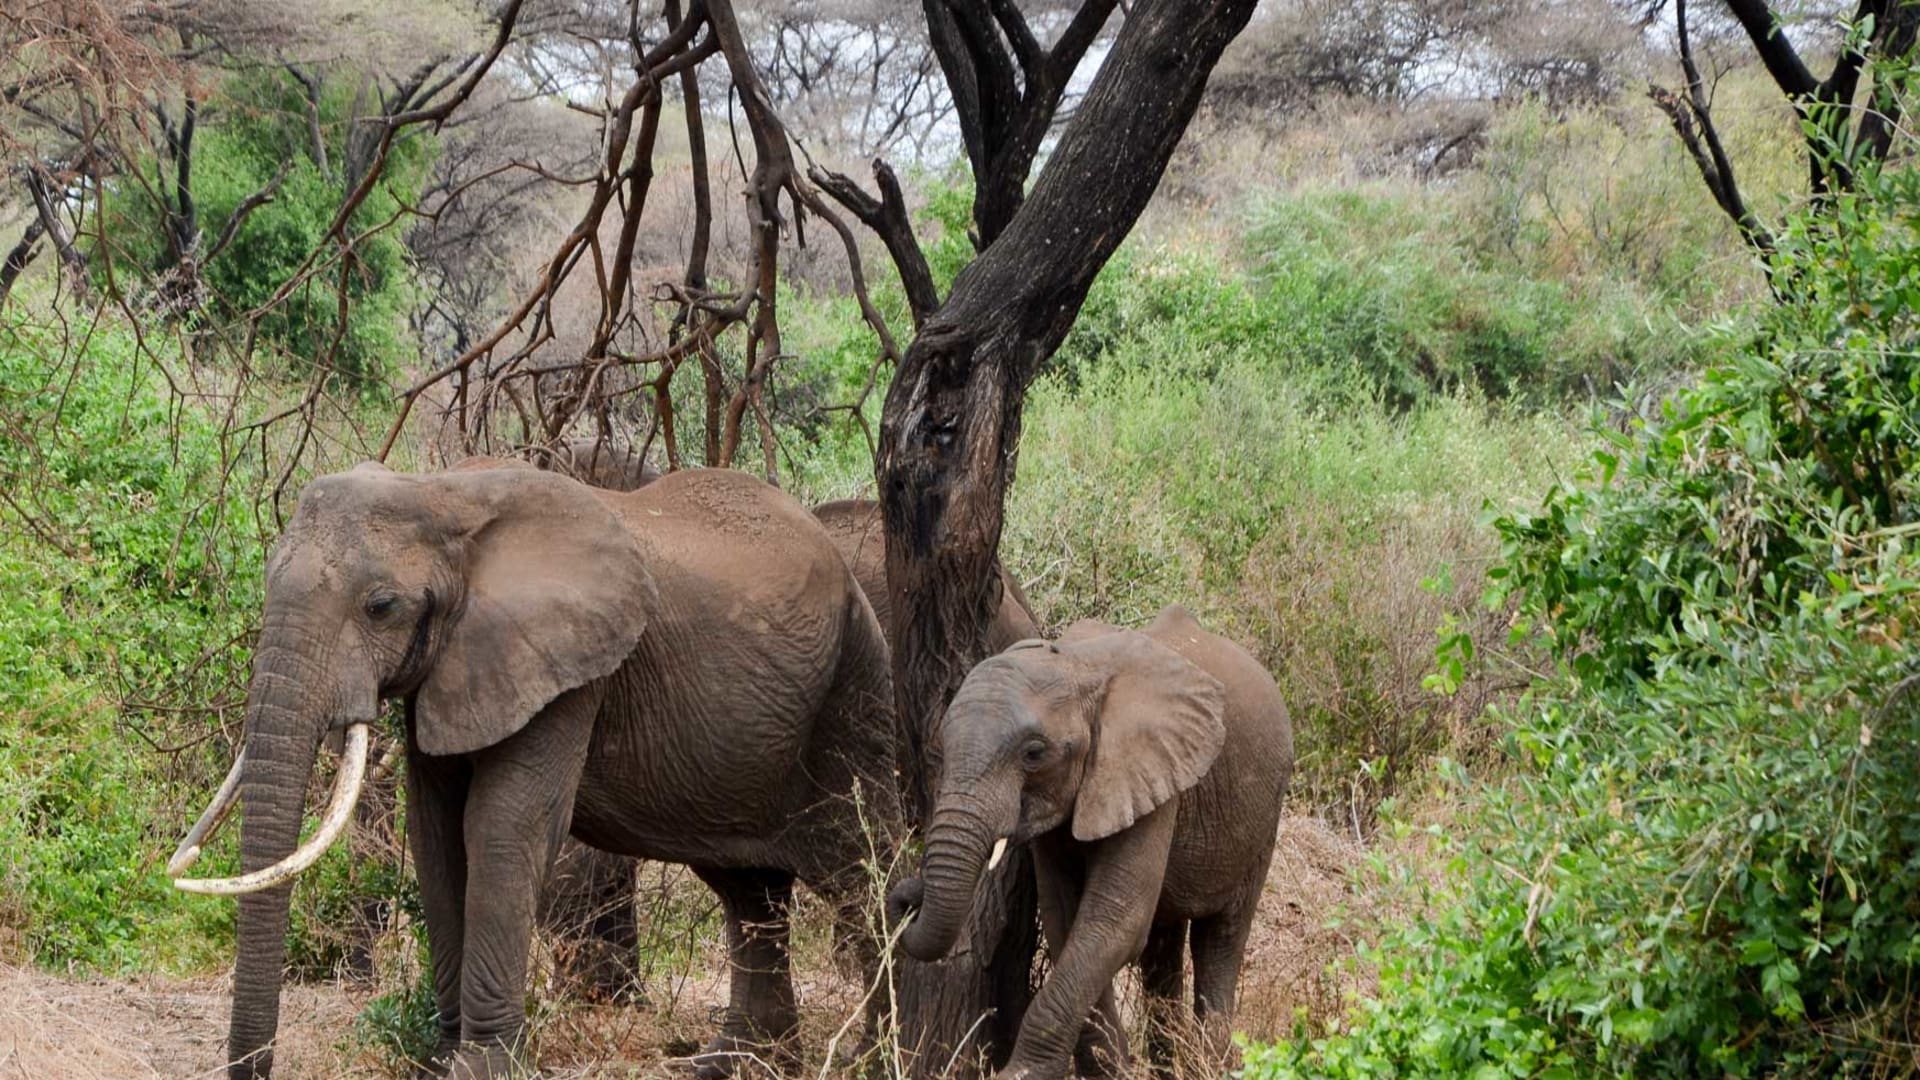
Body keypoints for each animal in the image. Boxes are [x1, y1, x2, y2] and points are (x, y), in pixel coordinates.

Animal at [168, 463, 903, 1080]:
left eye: (381, 606)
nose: (256, 1069)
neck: (444, 494)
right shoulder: (455, 665)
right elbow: (437, 838)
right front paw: (441, 1058)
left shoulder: (571, 669)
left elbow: (501, 829)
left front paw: (481, 1068)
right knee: (748, 889)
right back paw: (736, 1063)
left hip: (853, 688)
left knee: (863, 871)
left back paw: (872, 1058)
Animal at [887, 605, 1293, 1079]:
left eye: (1034, 753)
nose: (907, 898)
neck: (1076, 665)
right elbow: (1068, 920)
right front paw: (1110, 1068)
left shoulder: (1149, 775)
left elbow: (1114, 921)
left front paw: (1020, 1073)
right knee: (1162, 949)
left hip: (1265, 815)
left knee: (1222, 937)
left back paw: (1211, 1063)